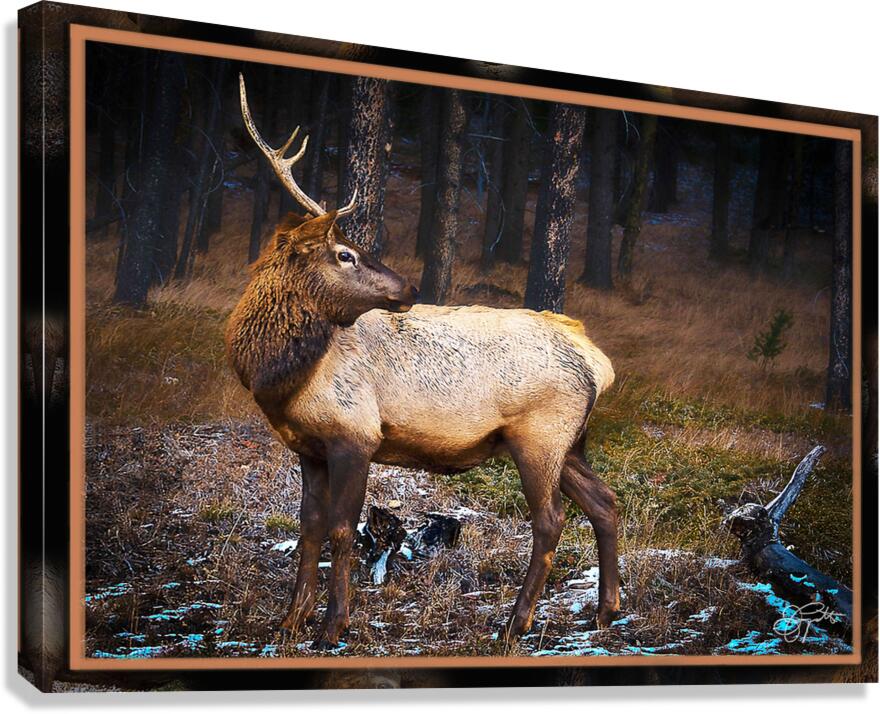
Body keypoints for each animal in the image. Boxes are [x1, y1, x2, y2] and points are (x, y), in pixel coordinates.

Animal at [226, 75, 620, 649]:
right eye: (344, 254)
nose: (409, 288)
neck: (283, 382)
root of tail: (597, 360)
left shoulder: (356, 434)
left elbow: (341, 531)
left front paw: (332, 627)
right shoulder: (308, 447)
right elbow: (309, 528)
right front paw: (289, 621)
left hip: (541, 435)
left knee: (551, 520)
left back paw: (515, 624)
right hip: (571, 441)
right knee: (605, 502)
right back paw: (606, 611)